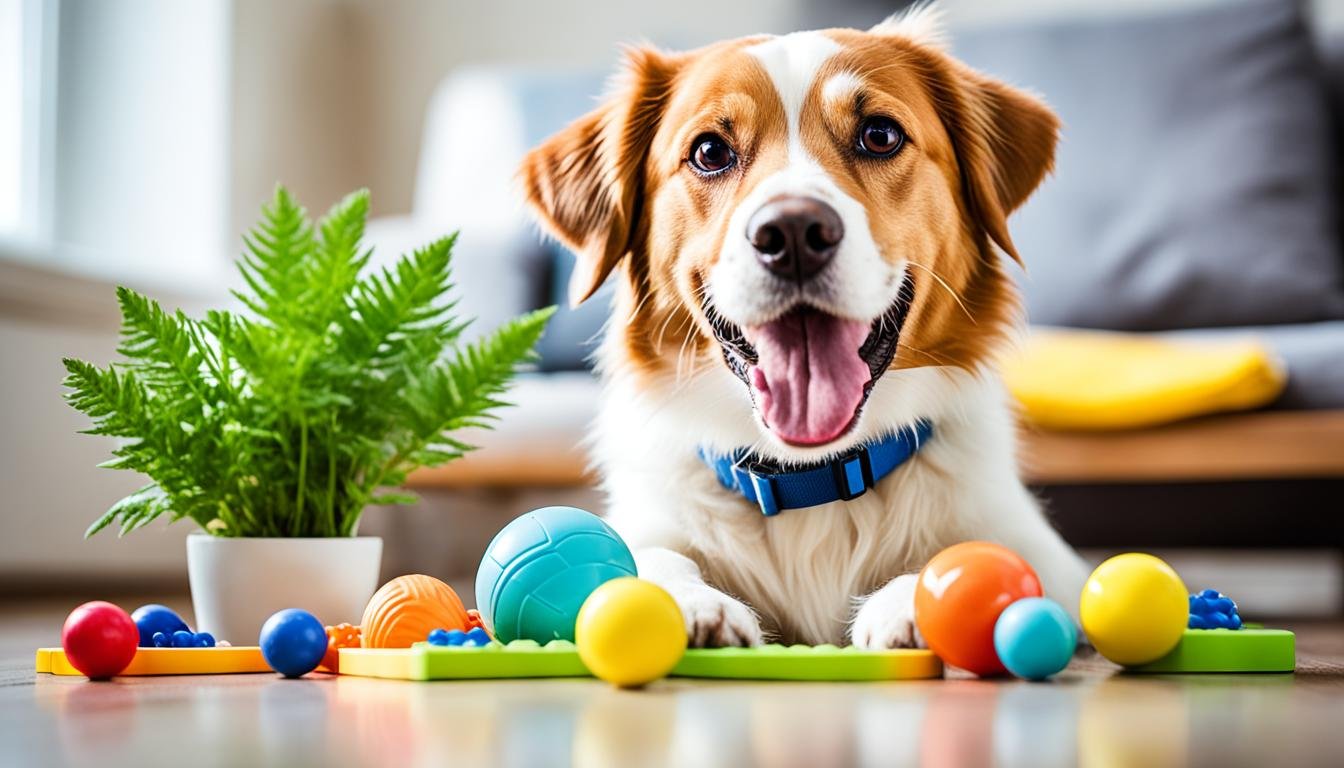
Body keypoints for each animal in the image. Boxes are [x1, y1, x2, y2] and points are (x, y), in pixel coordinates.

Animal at [516, 8, 1091, 650]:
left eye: (880, 135)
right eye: (709, 150)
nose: (792, 232)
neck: (811, 478)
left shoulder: (1044, 552)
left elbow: (990, 552)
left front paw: (919, 598)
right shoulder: (649, 519)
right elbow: (650, 555)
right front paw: (686, 603)